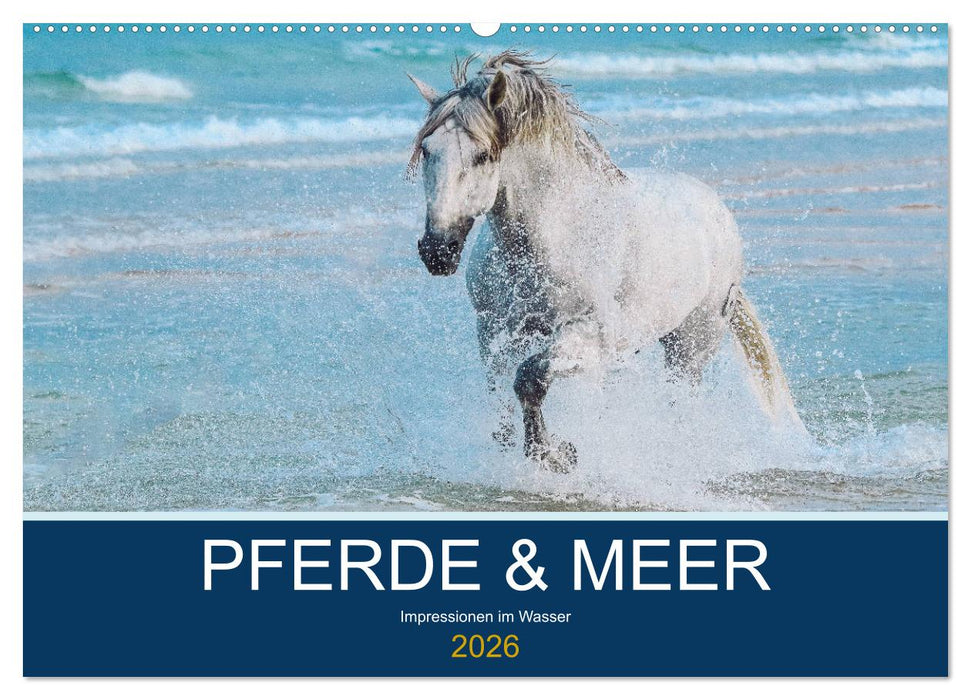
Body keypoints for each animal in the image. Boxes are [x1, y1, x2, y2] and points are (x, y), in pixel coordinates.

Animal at [407, 51, 805, 472]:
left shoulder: (588, 335)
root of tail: (718, 212)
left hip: (690, 346)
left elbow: (529, 378)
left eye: (483, 155)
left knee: (681, 403)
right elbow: (502, 403)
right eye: (428, 150)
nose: (437, 250)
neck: (556, 234)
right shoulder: (496, 331)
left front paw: (555, 454)